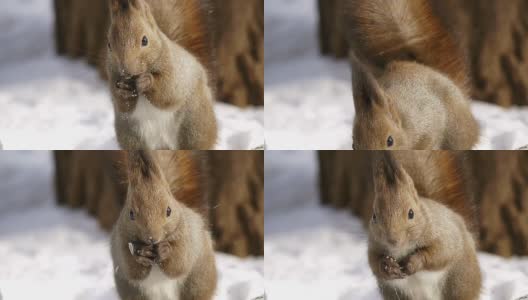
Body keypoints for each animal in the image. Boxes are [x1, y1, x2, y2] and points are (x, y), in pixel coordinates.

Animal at [106, 0, 217, 150]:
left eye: (145, 40)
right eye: (109, 44)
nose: (125, 71)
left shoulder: (175, 72)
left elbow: (167, 92)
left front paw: (147, 81)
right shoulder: (112, 76)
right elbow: (123, 105)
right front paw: (123, 89)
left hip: (193, 123)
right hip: (131, 134)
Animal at [110, 151, 218, 298]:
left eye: (169, 211)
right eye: (131, 214)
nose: (152, 238)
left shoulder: (187, 237)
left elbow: (179, 264)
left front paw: (165, 249)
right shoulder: (120, 241)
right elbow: (132, 270)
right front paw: (141, 254)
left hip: (197, 281)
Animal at [370, 154, 480, 298]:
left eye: (411, 213)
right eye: (374, 216)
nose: (393, 240)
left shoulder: (443, 234)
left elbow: (440, 252)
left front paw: (413, 262)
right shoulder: (374, 246)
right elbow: (374, 263)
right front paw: (388, 266)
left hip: (459, 280)